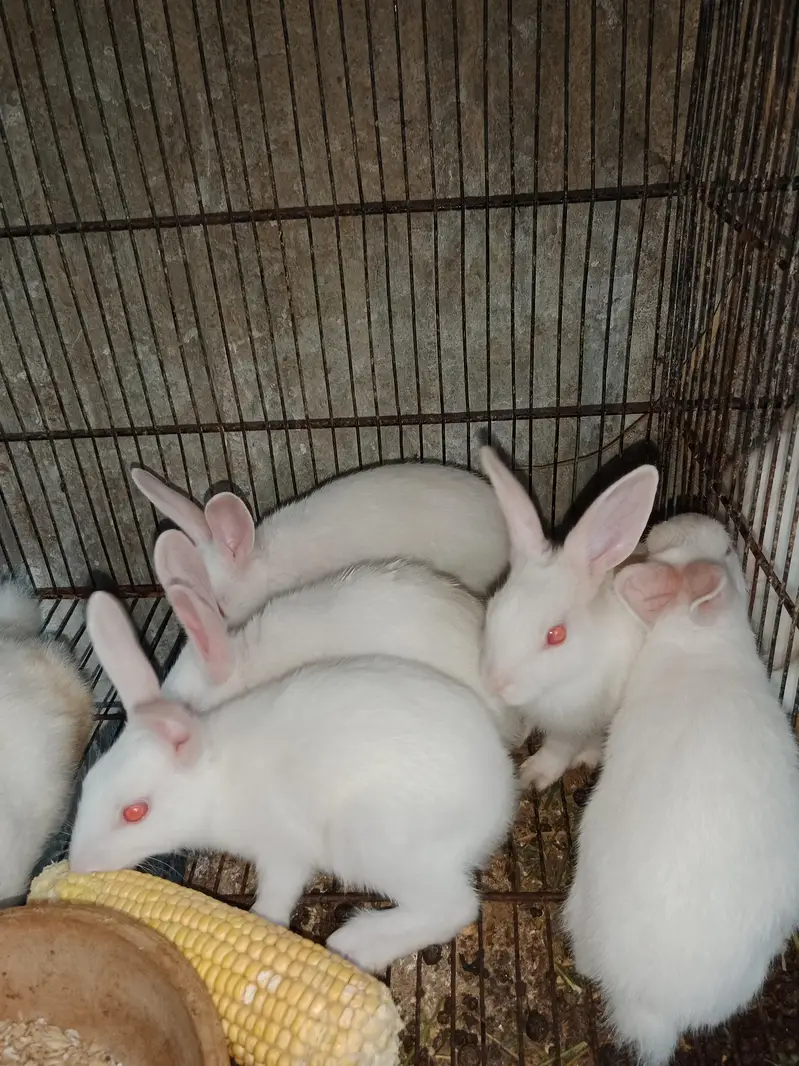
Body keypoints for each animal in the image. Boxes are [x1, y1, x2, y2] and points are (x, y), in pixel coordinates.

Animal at [69, 592, 518, 972]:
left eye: (135, 811)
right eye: (88, 785)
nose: (77, 865)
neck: (217, 780)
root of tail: (499, 800)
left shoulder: (283, 852)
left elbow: (275, 899)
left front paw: (258, 924)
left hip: (374, 843)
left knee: (455, 908)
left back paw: (357, 942)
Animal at [479, 446, 659, 790]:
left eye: (556, 635)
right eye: (493, 608)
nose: (495, 684)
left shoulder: (575, 723)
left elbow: (559, 747)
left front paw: (534, 775)